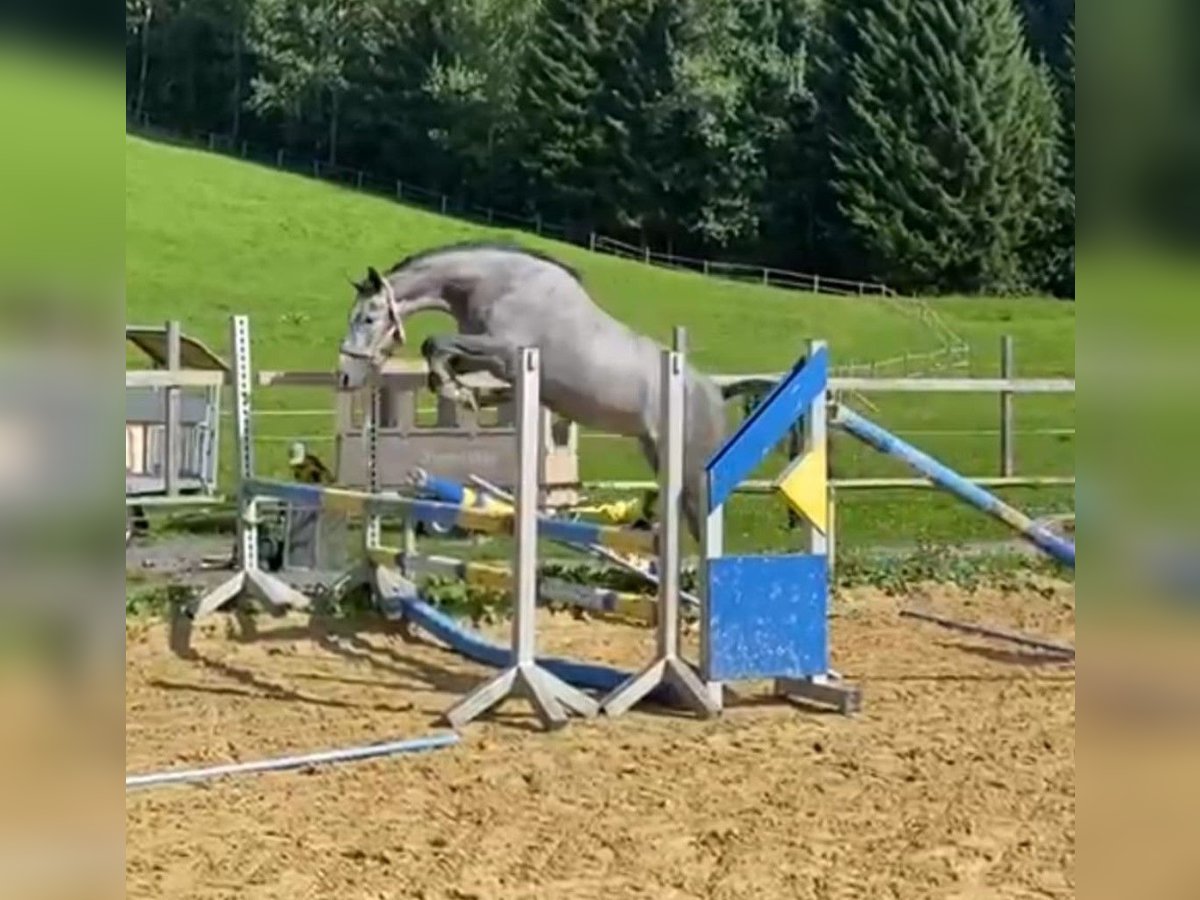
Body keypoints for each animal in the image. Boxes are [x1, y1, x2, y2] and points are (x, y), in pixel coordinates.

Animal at [336, 240, 748, 542]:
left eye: (368, 319)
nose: (345, 376)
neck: (498, 284)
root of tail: (716, 393)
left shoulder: (504, 349)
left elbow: (434, 343)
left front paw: (465, 395)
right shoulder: (489, 358)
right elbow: (442, 360)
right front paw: (474, 395)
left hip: (692, 468)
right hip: (658, 452)